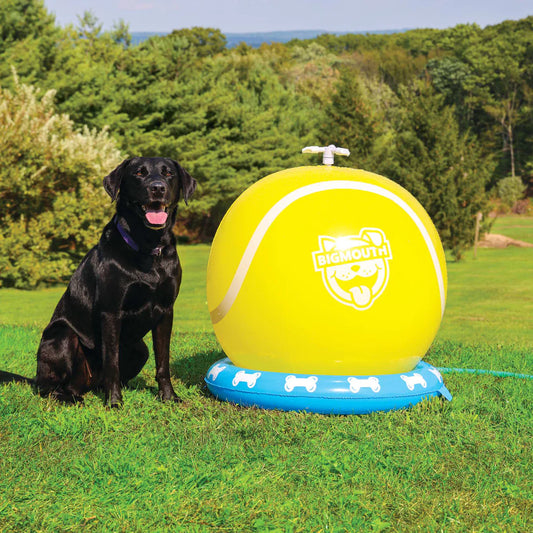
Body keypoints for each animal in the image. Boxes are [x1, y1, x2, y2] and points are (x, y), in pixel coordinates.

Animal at [1, 156, 196, 406]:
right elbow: (111, 361)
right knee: (48, 387)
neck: (148, 247)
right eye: (139, 173)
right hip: (62, 336)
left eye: (169, 173)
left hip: (140, 349)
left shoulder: (165, 311)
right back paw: (69, 398)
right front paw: (114, 402)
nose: (157, 188)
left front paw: (169, 397)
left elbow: (163, 361)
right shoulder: (111, 312)